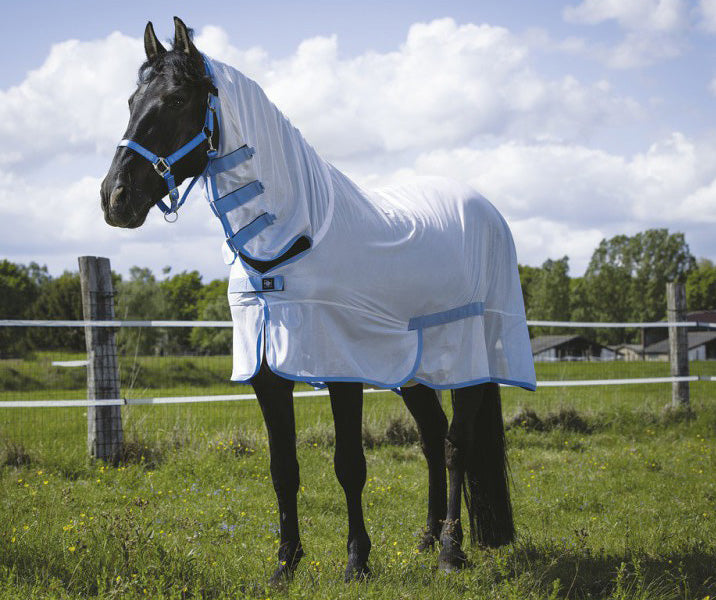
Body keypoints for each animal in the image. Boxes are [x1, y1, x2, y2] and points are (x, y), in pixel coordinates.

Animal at [100, 17, 536, 582]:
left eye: (175, 100)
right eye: (132, 100)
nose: (114, 198)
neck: (291, 236)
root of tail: (486, 211)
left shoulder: (341, 364)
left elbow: (349, 465)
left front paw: (357, 561)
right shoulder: (267, 370)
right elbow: (282, 467)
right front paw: (285, 563)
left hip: (471, 359)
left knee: (455, 444)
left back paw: (449, 550)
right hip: (413, 367)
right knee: (431, 436)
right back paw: (424, 537)